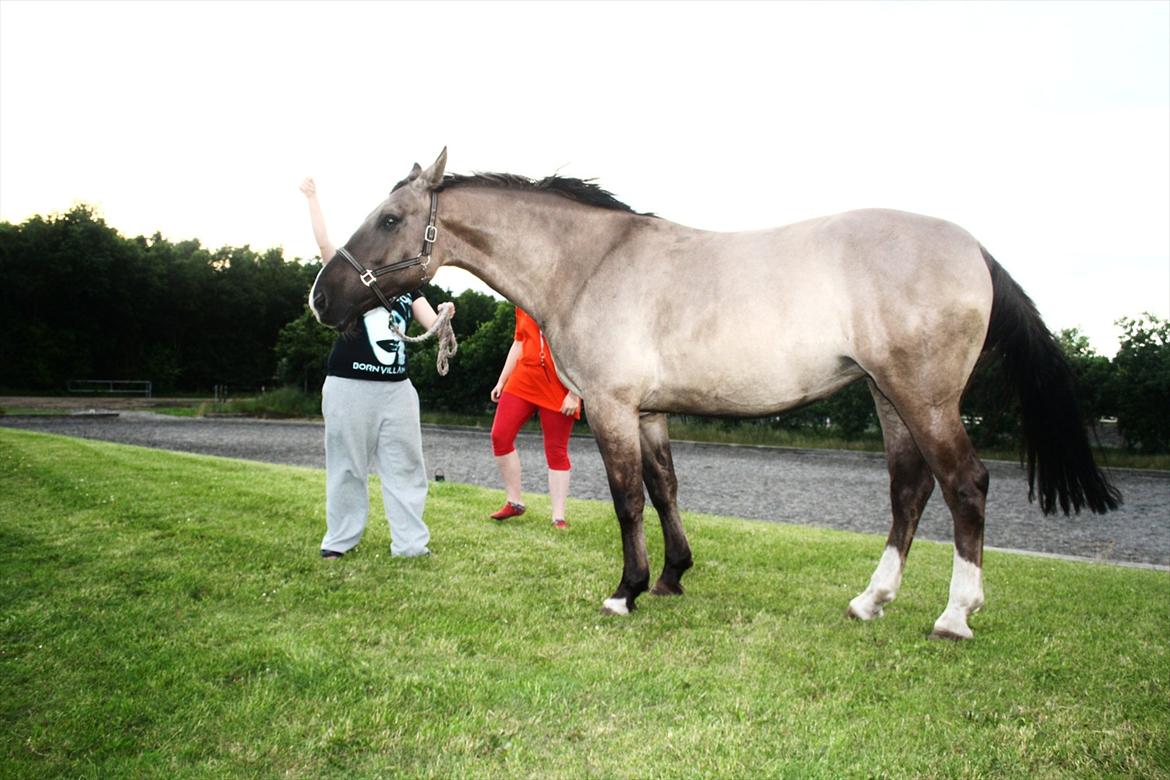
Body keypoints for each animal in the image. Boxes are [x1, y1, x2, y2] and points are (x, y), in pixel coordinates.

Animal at [313, 149, 1123, 636]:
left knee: (965, 484)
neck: (591, 262)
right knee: (910, 491)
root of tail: (972, 248)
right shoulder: (649, 412)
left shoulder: (611, 408)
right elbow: (666, 490)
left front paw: (627, 589)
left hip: (923, 398)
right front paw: (673, 576)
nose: (323, 298)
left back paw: (955, 615)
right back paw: (871, 601)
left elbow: (627, 499)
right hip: (890, 400)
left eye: (390, 218)